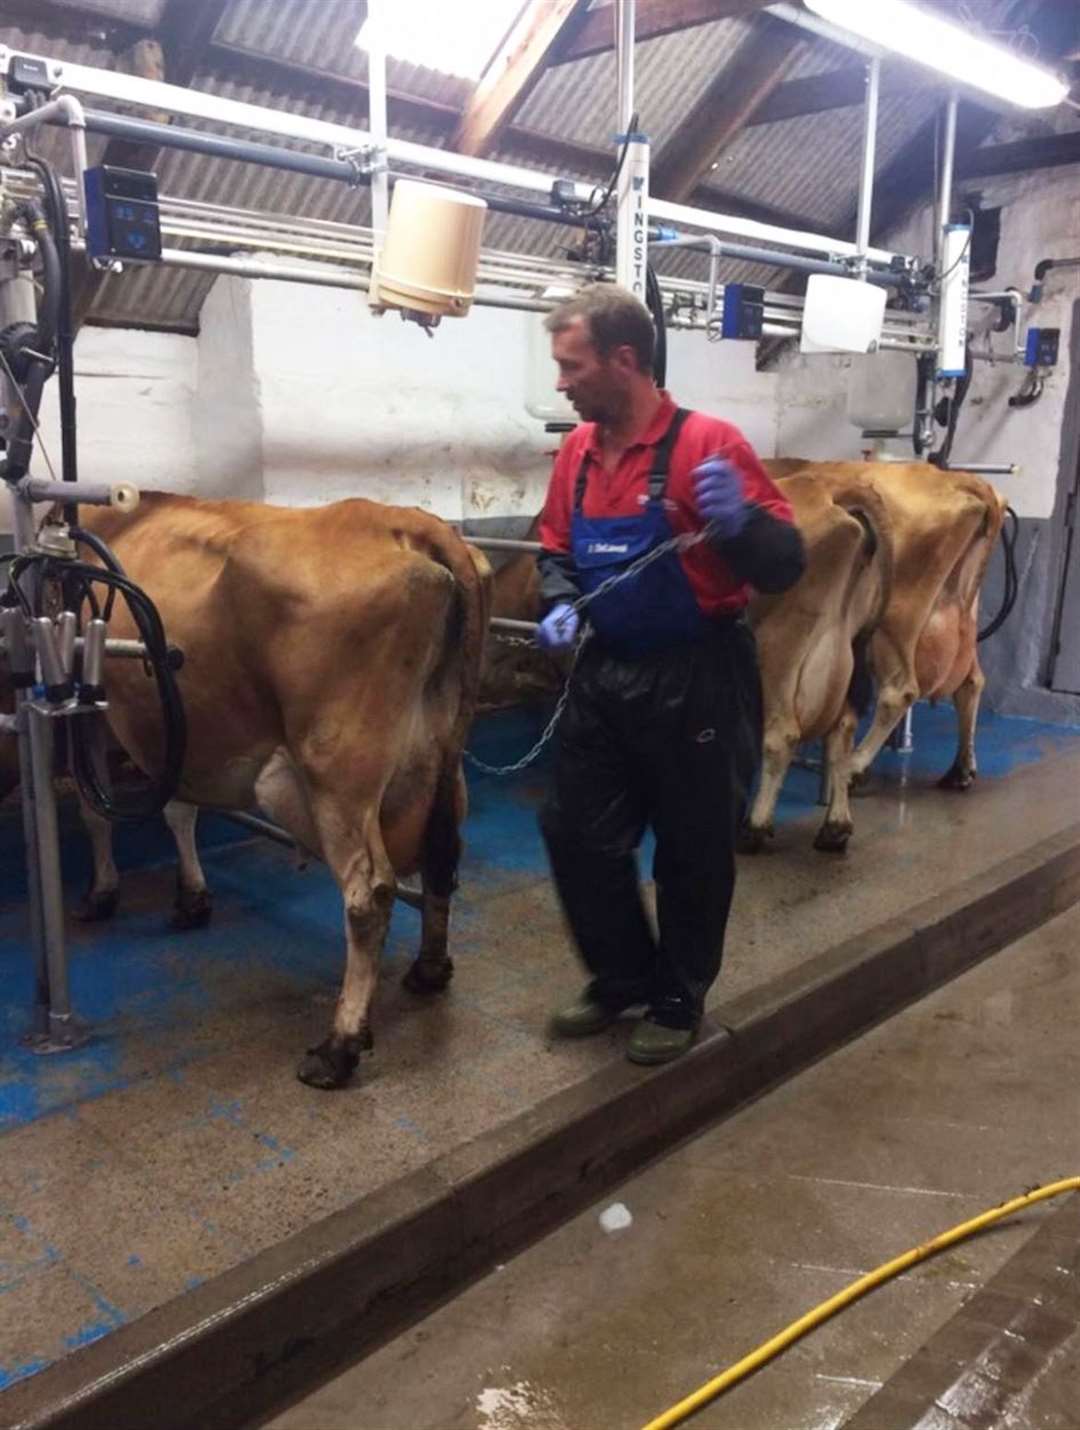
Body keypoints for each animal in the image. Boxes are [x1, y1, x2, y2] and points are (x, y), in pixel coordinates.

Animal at [76, 491, 494, 1081]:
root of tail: (405, 521)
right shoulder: (176, 727)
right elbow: (179, 809)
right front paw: (192, 898)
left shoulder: (90, 705)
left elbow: (94, 811)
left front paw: (101, 893)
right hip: (442, 755)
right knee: (443, 856)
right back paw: (429, 971)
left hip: (337, 773)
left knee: (370, 892)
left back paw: (339, 1045)